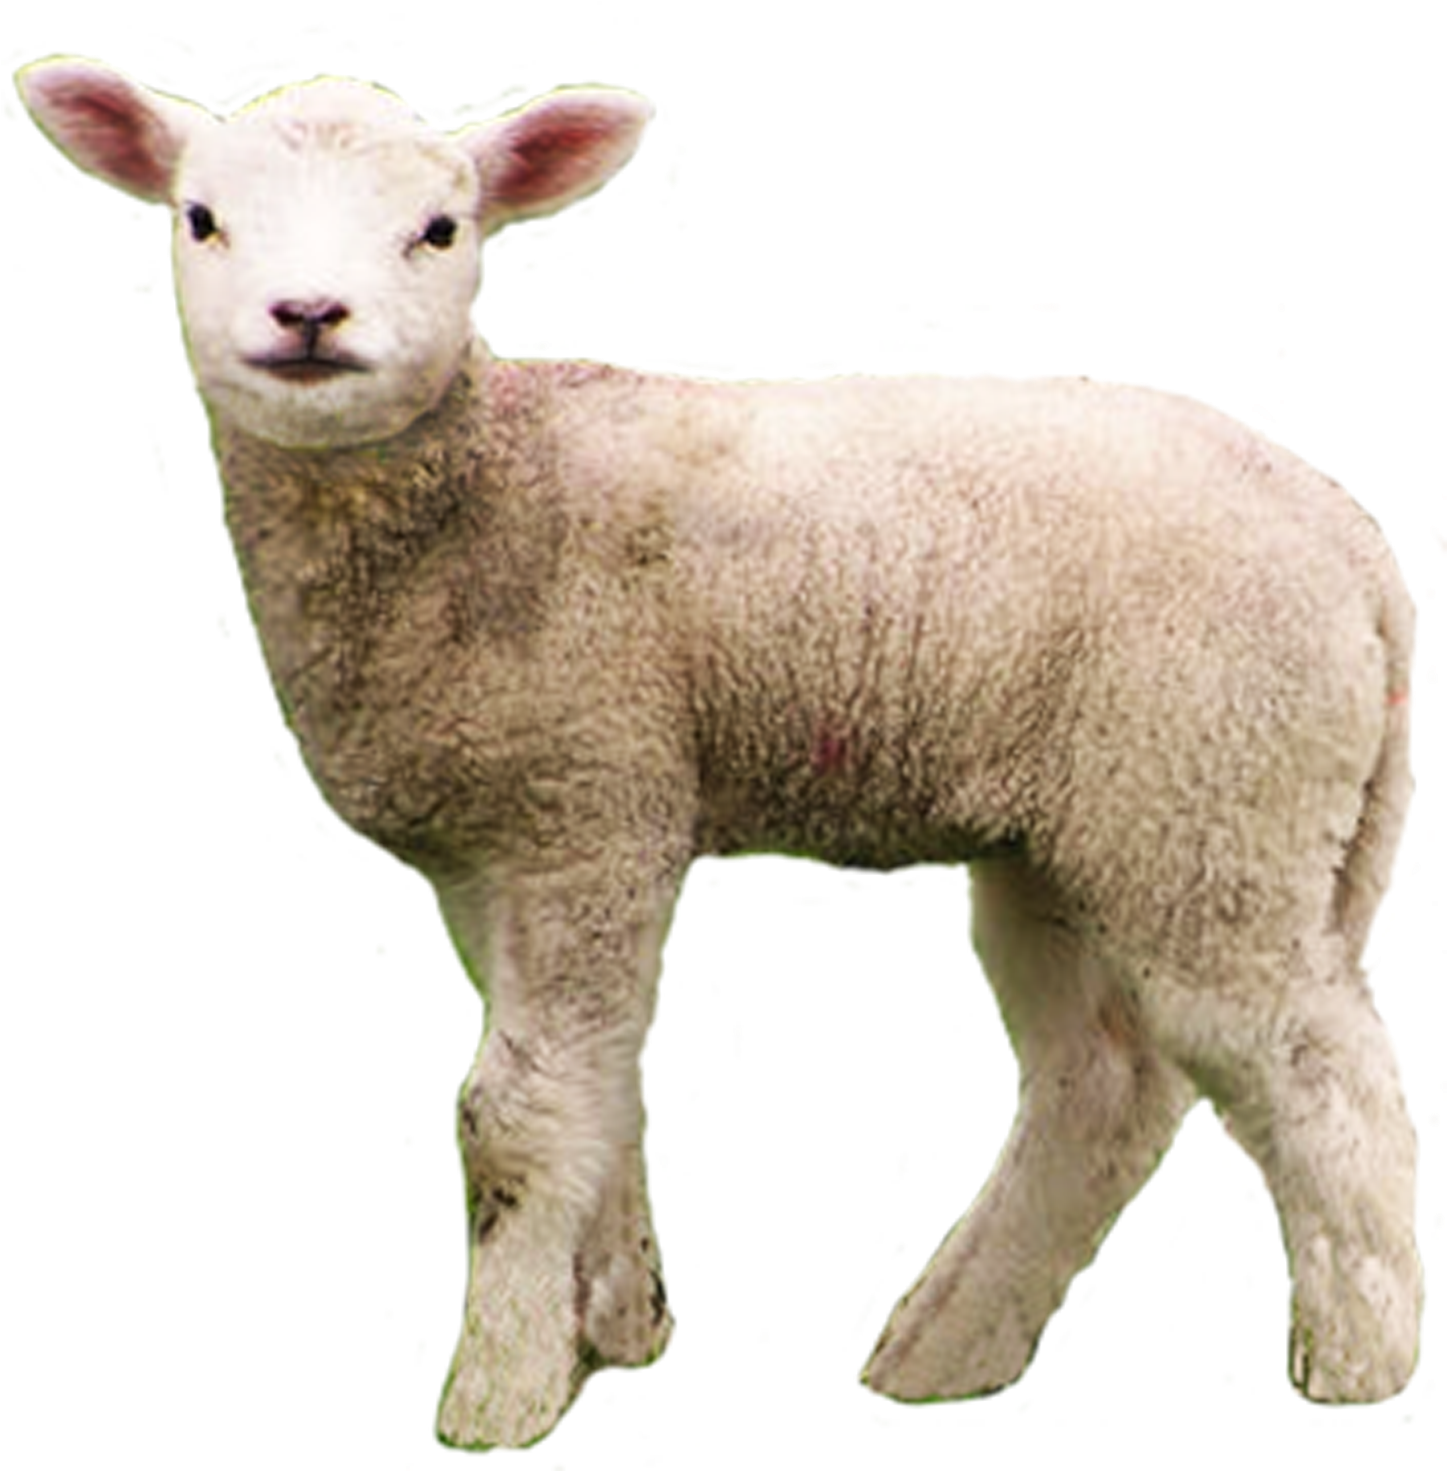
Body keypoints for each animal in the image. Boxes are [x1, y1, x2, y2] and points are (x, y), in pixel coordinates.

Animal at [17, 54, 1422, 1449]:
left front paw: (501, 1394)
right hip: (1076, 832)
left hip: (1213, 786)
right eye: (201, 220)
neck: (488, 487)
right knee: (1104, 1082)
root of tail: (1352, 542)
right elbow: (597, 1081)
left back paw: (1357, 1369)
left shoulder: (592, 796)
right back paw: (943, 1355)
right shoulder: (490, 850)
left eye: (441, 230)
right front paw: (613, 1331)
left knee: (1322, 1075)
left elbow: (516, 1117)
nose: (308, 316)